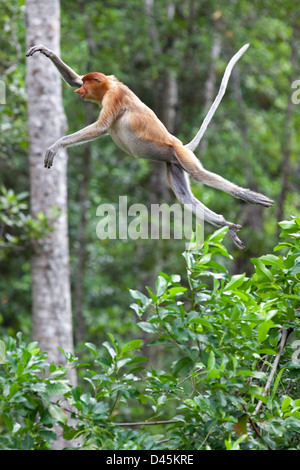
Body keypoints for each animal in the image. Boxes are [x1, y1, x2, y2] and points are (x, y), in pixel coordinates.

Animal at [26, 44, 274, 250]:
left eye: (89, 83)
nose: (81, 92)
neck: (109, 86)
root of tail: (181, 144)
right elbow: (73, 79)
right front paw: (46, 51)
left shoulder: (114, 96)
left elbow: (101, 127)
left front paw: (55, 146)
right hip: (173, 163)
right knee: (185, 199)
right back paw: (226, 225)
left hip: (180, 154)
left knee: (199, 174)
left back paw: (247, 197)